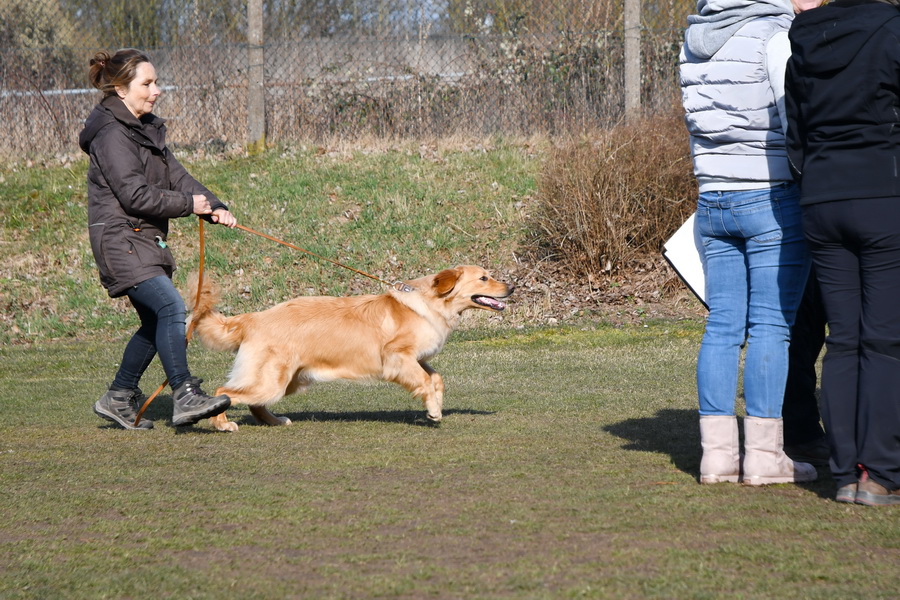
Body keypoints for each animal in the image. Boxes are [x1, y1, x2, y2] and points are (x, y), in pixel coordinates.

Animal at [185, 266, 510, 432]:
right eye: (484, 278)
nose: (513, 287)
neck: (430, 304)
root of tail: (252, 318)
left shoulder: (415, 359)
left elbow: (435, 378)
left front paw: (436, 406)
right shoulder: (396, 357)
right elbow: (425, 381)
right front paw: (432, 411)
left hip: (287, 381)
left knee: (254, 402)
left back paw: (275, 421)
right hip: (271, 381)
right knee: (223, 392)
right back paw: (222, 424)